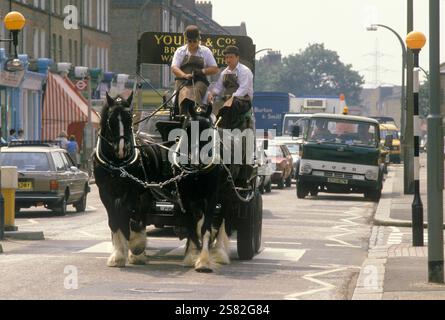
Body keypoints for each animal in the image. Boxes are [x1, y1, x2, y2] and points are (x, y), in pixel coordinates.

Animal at [94, 92, 163, 268]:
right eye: (111, 120)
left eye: (129, 119)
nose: (122, 149)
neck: (117, 164)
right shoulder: (104, 192)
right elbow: (114, 220)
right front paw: (118, 255)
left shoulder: (132, 190)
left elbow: (128, 216)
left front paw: (135, 245)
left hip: (145, 193)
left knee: (140, 215)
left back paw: (138, 251)